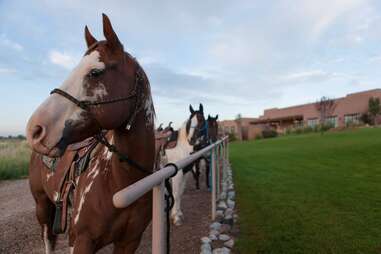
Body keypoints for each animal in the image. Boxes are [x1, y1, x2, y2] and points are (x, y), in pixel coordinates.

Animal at [25, 14, 154, 254]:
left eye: (95, 72)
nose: (35, 130)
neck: (122, 181)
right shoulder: (82, 240)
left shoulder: (130, 241)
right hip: (42, 206)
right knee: (48, 239)